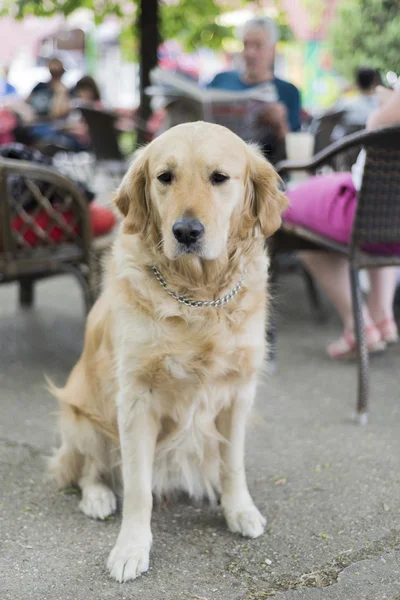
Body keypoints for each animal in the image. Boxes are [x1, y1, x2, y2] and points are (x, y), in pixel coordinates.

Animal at [49, 120, 288, 580]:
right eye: (165, 177)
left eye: (219, 177)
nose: (186, 232)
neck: (198, 296)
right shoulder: (136, 399)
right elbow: (138, 486)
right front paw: (131, 548)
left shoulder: (239, 392)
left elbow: (233, 463)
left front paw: (239, 509)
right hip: (80, 415)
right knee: (89, 467)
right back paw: (97, 496)